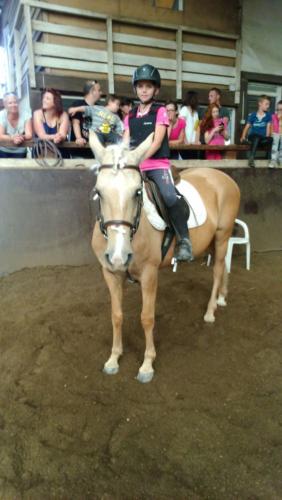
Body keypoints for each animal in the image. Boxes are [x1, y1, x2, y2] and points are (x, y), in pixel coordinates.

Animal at [90, 132, 240, 382]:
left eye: (137, 192)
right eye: (99, 191)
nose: (119, 255)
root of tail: (224, 177)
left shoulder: (149, 275)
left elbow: (147, 317)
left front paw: (147, 365)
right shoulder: (110, 273)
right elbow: (116, 315)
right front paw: (113, 359)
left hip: (222, 235)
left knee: (219, 270)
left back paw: (210, 311)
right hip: (213, 241)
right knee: (224, 268)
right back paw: (222, 298)